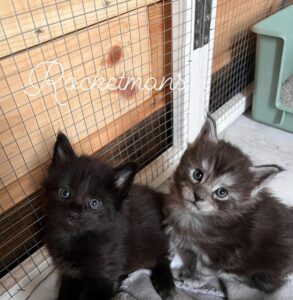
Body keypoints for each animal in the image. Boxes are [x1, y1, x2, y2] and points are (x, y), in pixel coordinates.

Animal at [43, 134, 173, 300]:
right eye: (64, 192)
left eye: (94, 203)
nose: (74, 212)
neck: (74, 237)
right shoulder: (69, 273)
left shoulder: (103, 277)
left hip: (154, 243)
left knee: (163, 257)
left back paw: (165, 285)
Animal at [164, 116, 292, 292]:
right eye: (197, 174)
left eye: (222, 192)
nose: (198, 196)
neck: (192, 217)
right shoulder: (183, 240)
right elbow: (184, 255)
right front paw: (179, 268)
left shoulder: (223, 255)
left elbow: (203, 270)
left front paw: (194, 280)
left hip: (267, 268)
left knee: (259, 282)